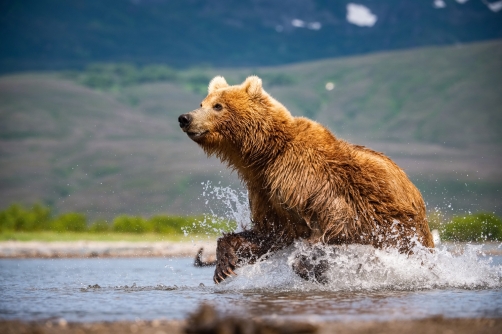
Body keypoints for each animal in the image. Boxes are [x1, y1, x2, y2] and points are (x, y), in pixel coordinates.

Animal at [178, 76, 434, 284]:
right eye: (202, 103)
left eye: (218, 106)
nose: (185, 118)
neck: (266, 155)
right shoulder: (265, 190)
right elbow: (270, 232)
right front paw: (224, 266)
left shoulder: (308, 180)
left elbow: (337, 221)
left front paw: (313, 268)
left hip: (401, 226)